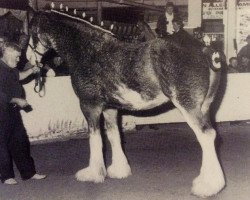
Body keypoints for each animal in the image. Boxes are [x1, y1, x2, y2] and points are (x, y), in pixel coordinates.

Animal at [26, 10, 226, 197]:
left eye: (30, 30)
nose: (27, 58)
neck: (89, 50)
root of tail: (204, 49)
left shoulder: (89, 106)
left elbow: (95, 138)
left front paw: (93, 173)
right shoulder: (110, 108)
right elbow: (114, 135)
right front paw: (119, 170)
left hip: (188, 105)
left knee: (206, 135)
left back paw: (207, 187)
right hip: (204, 107)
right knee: (209, 137)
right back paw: (205, 181)